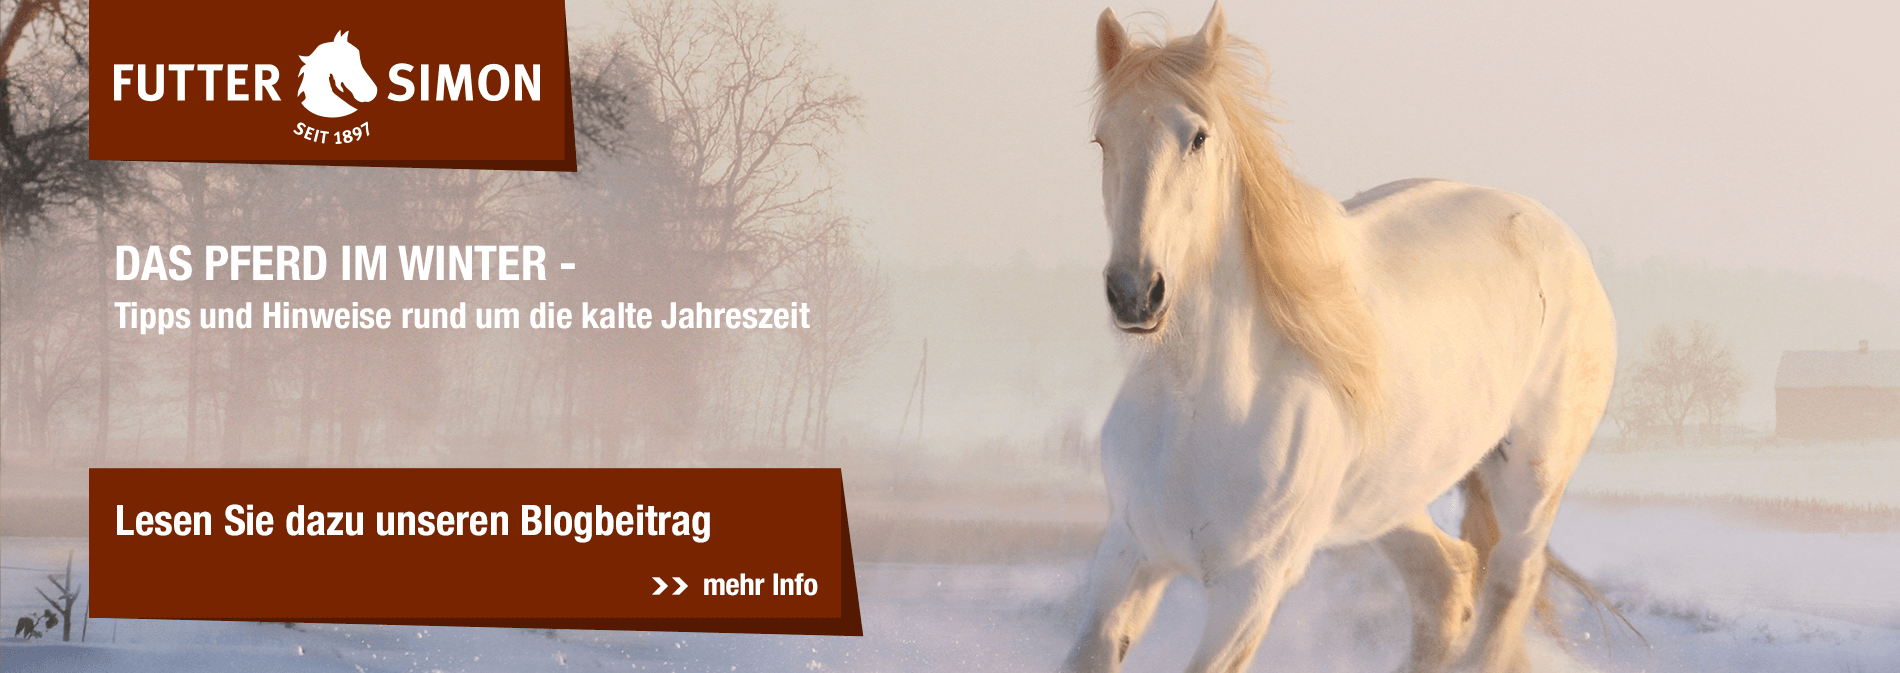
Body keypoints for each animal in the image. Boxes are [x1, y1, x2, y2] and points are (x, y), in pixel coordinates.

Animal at [1066, 4, 1624, 673]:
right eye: (1102, 139)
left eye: (1197, 137)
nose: (1134, 292)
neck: (1197, 410)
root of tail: (1559, 235)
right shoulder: (1127, 558)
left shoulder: (1250, 590)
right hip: (1391, 497)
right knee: (1444, 581)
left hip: (1530, 486)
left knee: (1509, 586)